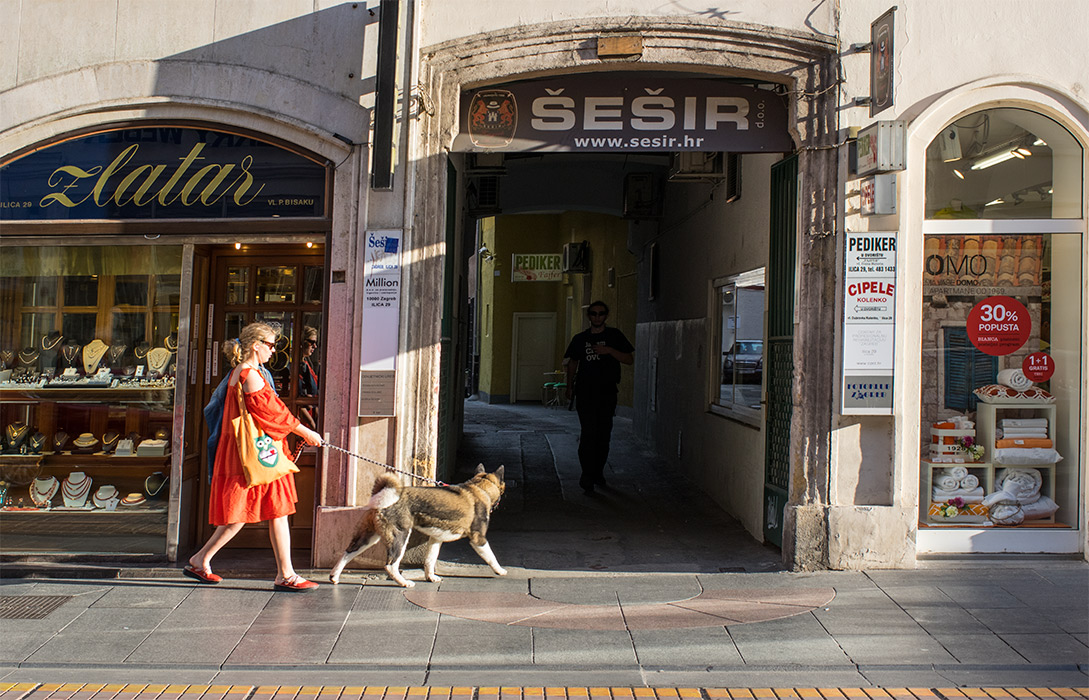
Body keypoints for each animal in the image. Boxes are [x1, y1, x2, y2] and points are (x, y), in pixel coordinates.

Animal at [326, 468, 505, 587]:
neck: (480, 487)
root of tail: (382, 497)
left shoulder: (435, 539)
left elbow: (429, 560)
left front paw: (431, 577)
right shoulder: (478, 538)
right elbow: (491, 556)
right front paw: (500, 570)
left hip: (368, 537)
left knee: (347, 553)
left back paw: (334, 576)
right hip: (400, 537)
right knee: (390, 565)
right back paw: (404, 582)